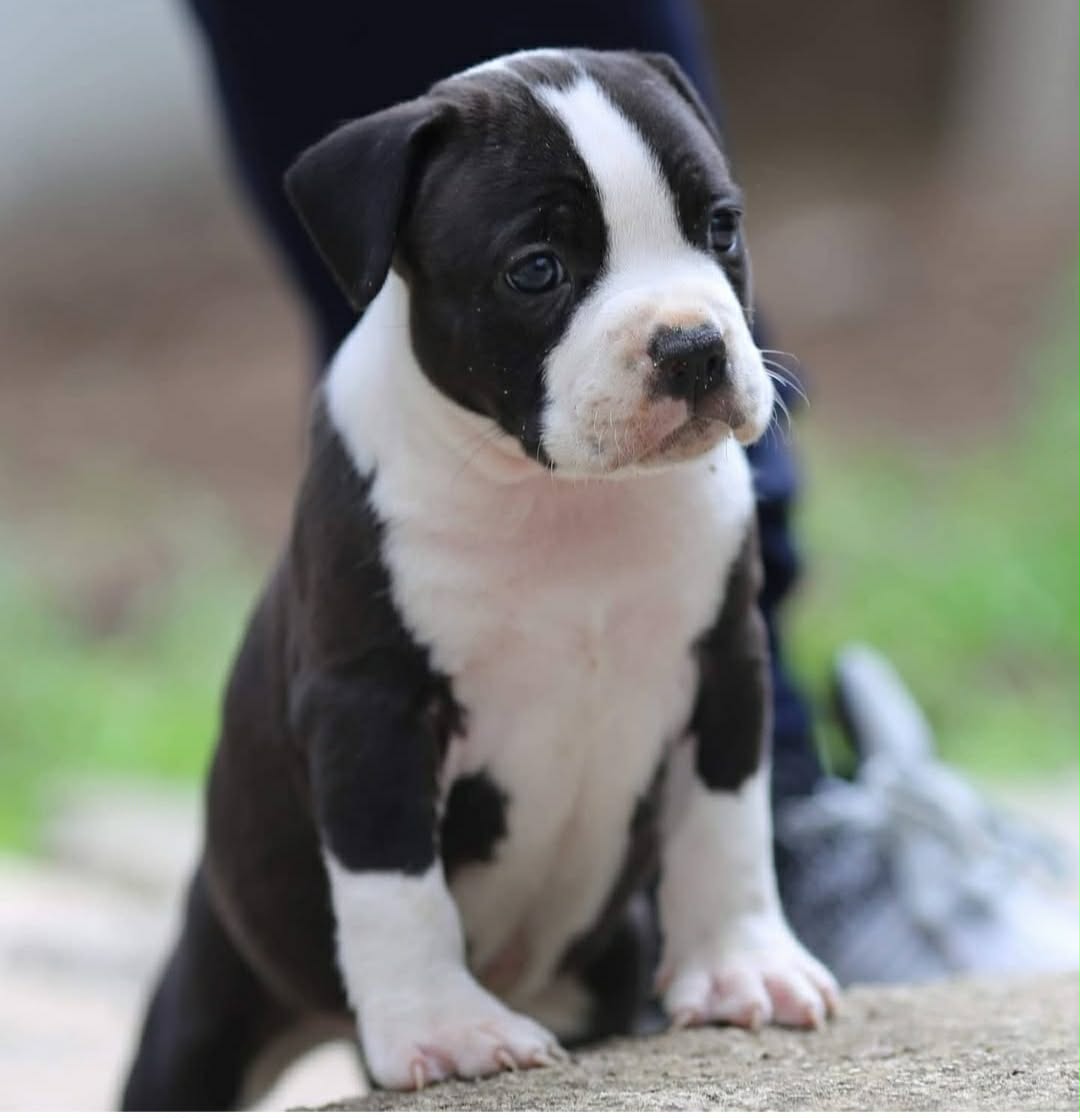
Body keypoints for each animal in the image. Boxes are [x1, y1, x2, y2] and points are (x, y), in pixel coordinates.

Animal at [122, 48, 837, 1108]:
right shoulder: (369, 707)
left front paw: (744, 968)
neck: (565, 501)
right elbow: (394, 879)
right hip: (212, 997)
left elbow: (726, 824)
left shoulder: (728, 661)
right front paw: (445, 1030)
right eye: (535, 269)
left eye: (721, 227)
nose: (692, 346)